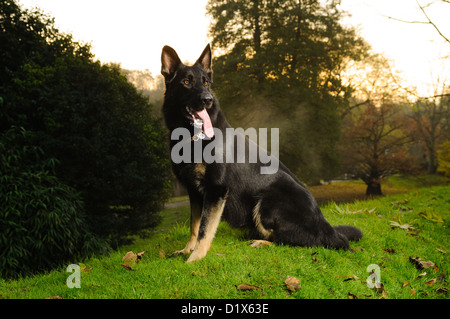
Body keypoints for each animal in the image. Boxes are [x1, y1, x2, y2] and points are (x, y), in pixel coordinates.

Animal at [162, 43, 362, 262]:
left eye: (206, 83)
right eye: (186, 82)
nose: (208, 100)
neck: (192, 136)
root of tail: (327, 227)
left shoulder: (216, 191)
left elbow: (205, 228)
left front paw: (196, 257)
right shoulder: (194, 192)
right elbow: (194, 225)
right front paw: (187, 250)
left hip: (266, 202)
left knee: (302, 240)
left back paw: (262, 242)